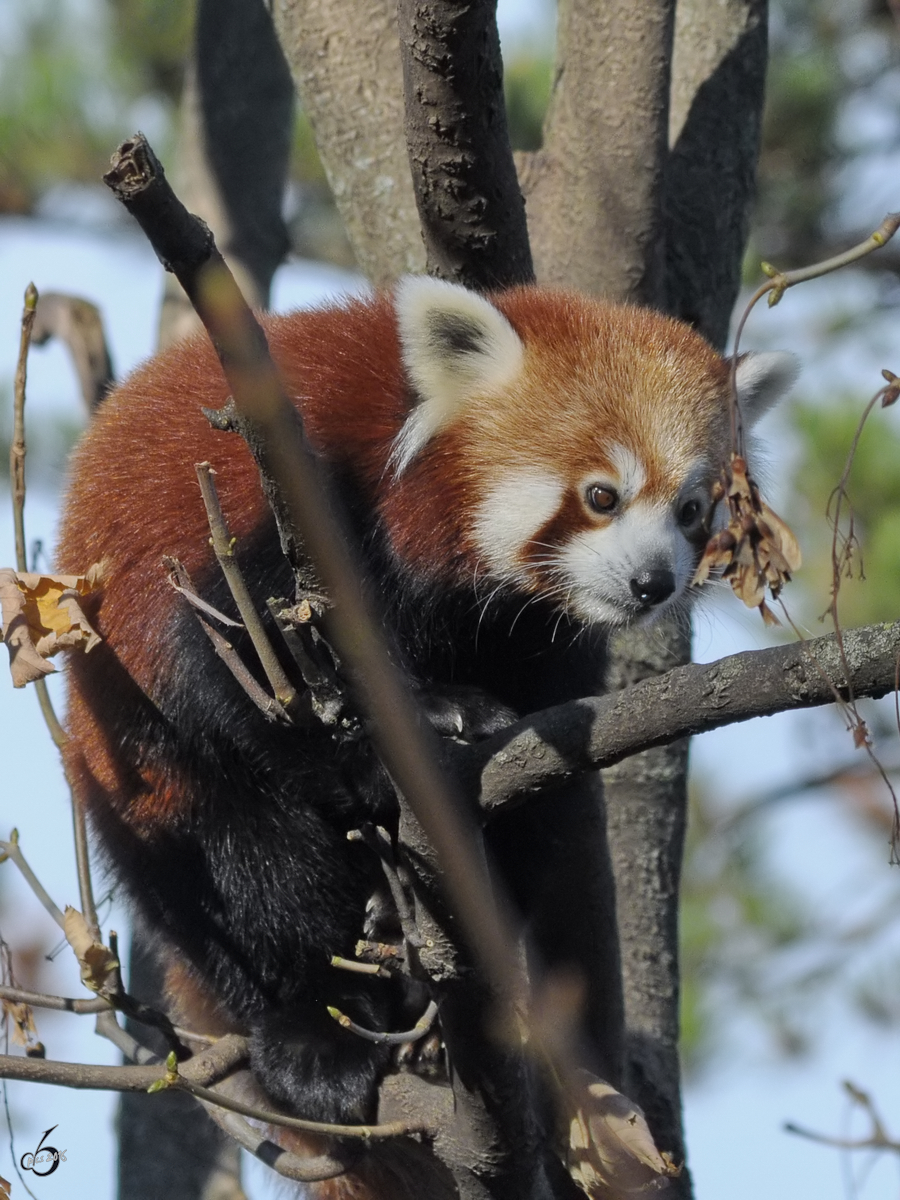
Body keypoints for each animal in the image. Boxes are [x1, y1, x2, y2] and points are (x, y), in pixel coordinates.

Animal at [54, 278, 796, 1190]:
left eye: (692, 510)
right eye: (602, 495)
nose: (654, 582)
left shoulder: (533, 643)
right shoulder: (265, 510)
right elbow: (237, 670)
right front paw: (417, 728)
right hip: (135, 771)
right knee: (241, 859)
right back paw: (315, 1026)